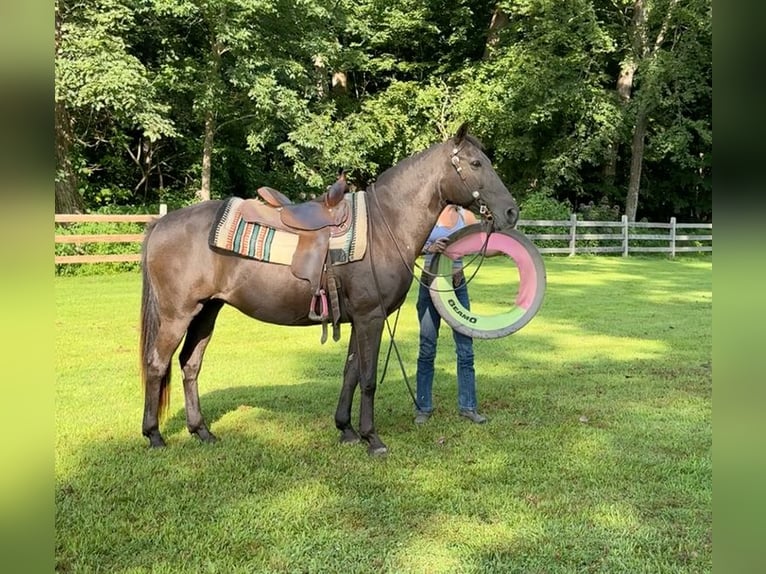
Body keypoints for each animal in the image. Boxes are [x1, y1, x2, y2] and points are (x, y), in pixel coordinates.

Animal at [140, 123, 519, 456]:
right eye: (476, 163)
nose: (511, 212)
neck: (386, 226)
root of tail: (162, 222)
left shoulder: (358, 319)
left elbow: (350, 372)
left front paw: (346, 430)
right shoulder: (371, 318)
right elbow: (367, 377)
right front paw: (372, 439)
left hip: (207, 311)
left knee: (190, 365)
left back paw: (202, 431)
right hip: (177, 315)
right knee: (157, 364)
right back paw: (154, 436)